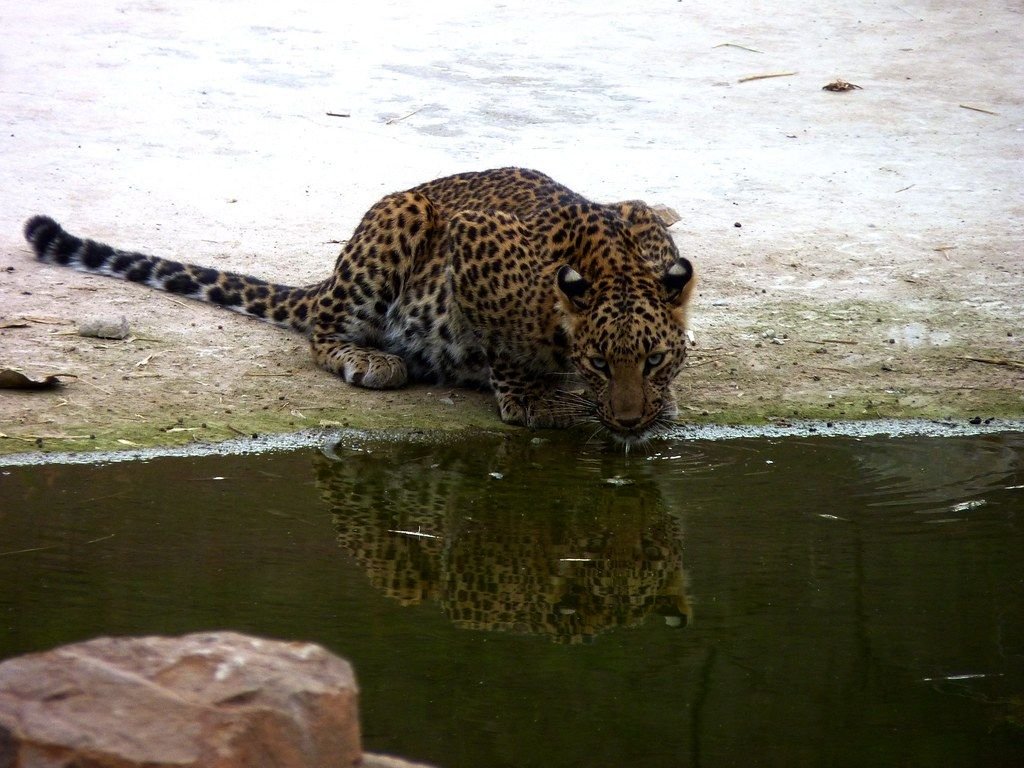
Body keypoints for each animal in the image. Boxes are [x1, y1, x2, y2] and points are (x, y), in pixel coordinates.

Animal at [23, 167, 695, 444]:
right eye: (600, 364)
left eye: (655, 359)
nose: (629, 421)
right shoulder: (475, 241)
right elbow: (502, 338)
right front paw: (530, 397)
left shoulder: (644, 218)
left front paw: (659, 402)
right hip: (402, 214)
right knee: (322, 331)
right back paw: (370, 359)